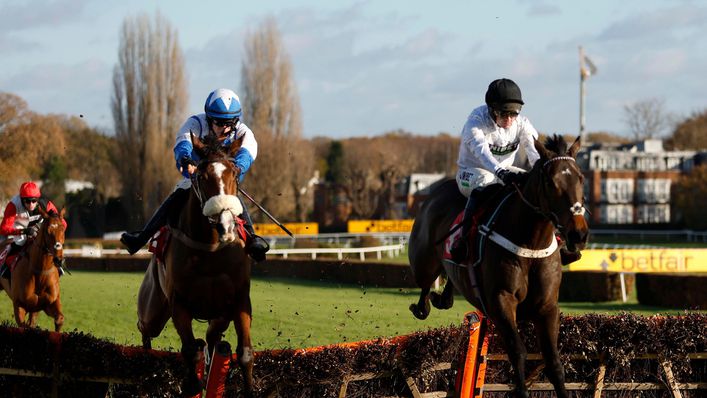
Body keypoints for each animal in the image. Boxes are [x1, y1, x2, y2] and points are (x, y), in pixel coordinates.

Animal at [136, 133, 254, 394]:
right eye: (201, 176)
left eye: (234, 172)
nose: (226, 225)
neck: (210, 250)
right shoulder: (178, 303)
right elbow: (190, 350)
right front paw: (193, 384)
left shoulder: (240, 299)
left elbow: (245, 353)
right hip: (153, 308)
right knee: (145, 329)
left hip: (220, 315)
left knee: (213, 339)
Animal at [406, 135, 588, 396]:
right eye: (551, 182)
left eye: (580, 178)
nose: (578, 234)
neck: (529, 244)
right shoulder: (501, 301)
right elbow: (518, 352)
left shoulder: (547, 307)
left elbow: (554, 362)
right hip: (424, 262)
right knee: (424, 284)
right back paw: (425, 304)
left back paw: (443, 297)